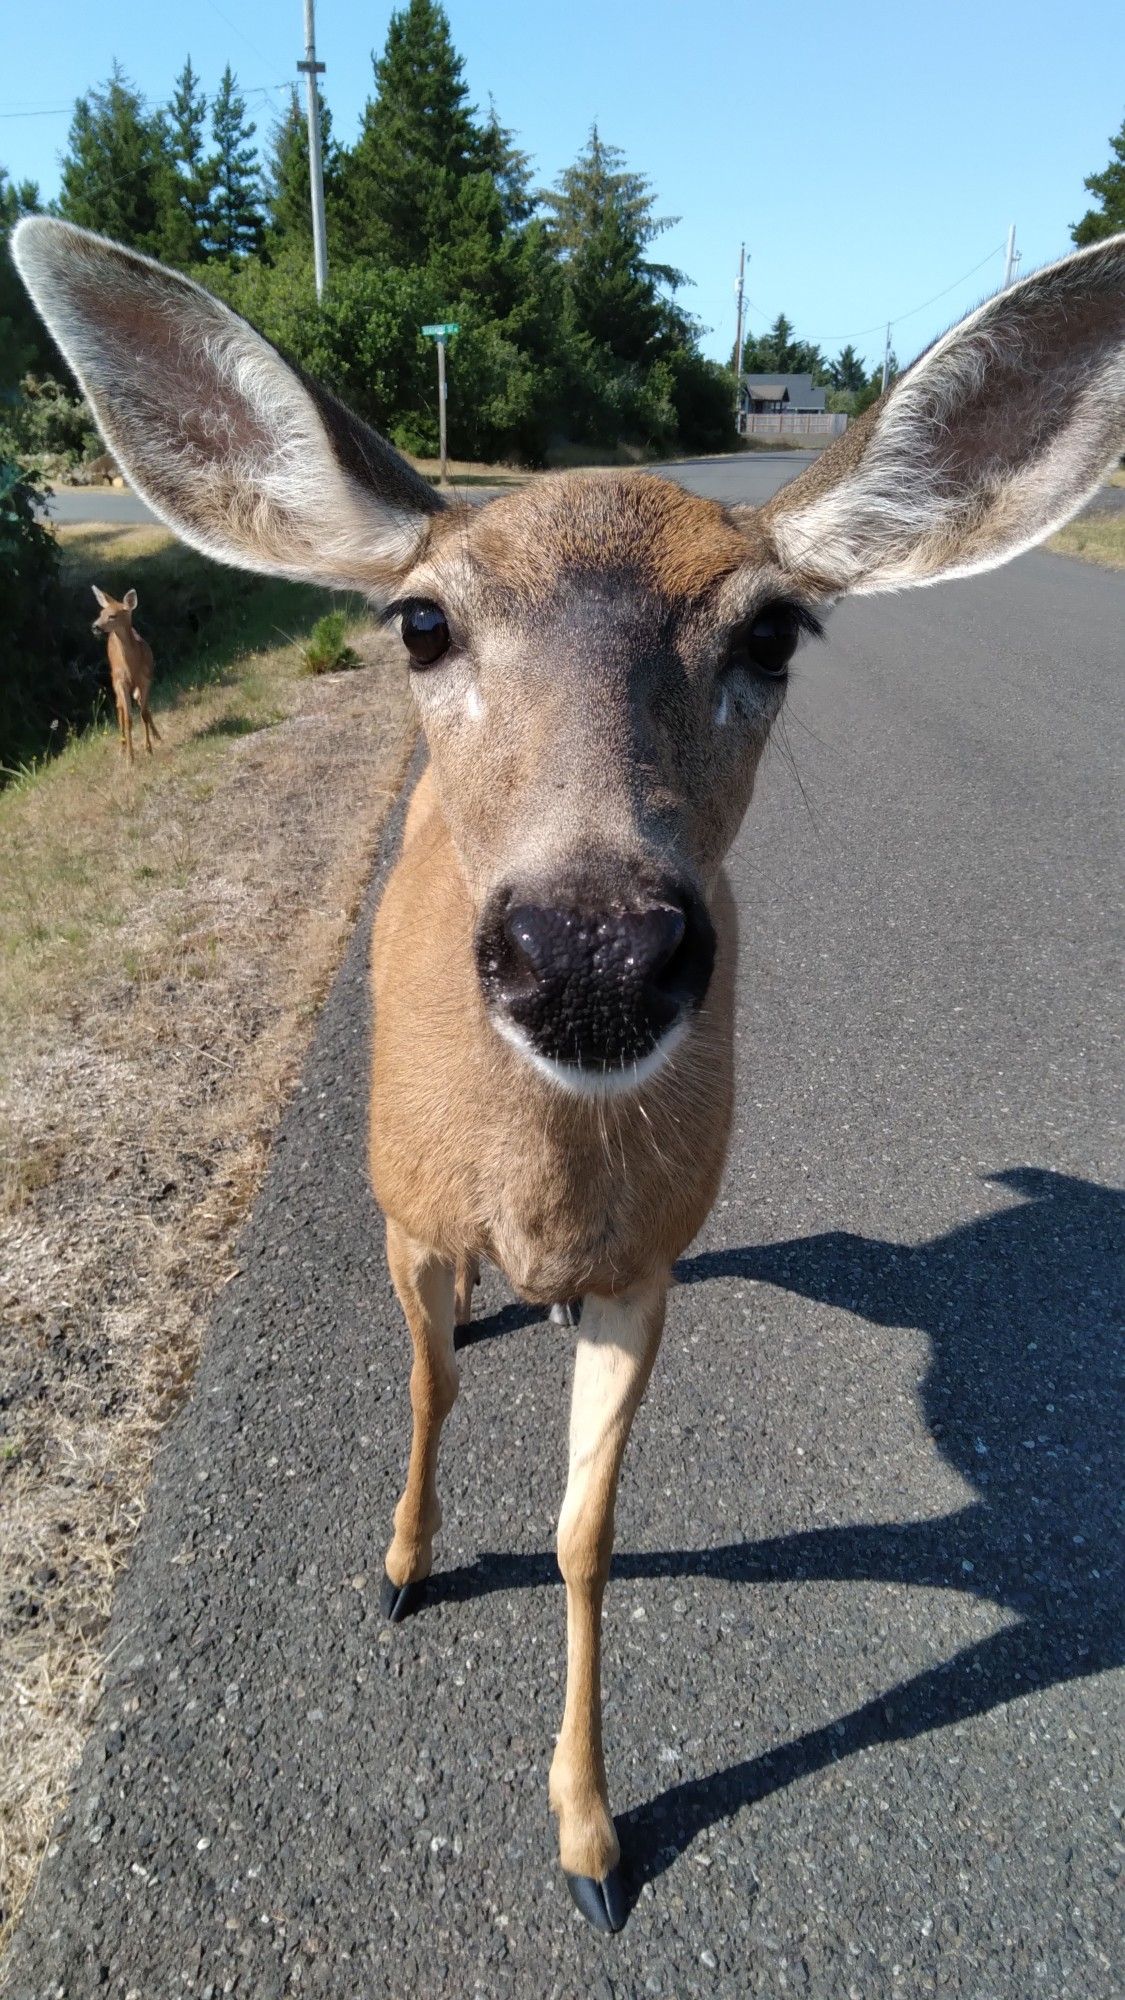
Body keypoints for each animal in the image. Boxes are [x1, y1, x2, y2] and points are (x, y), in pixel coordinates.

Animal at [89, 584, 160, 764]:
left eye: (112, 615)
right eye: (101, 613)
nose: (95, 626)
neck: (132, 667)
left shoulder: (146, 679)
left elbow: (144, 713)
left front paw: (149, 749)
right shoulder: (121, 682)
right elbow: (128, 719)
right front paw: (130, 757)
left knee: (143, 706)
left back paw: (157, 736)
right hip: (114, 680)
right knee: (119, 708)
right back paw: (122, 748)